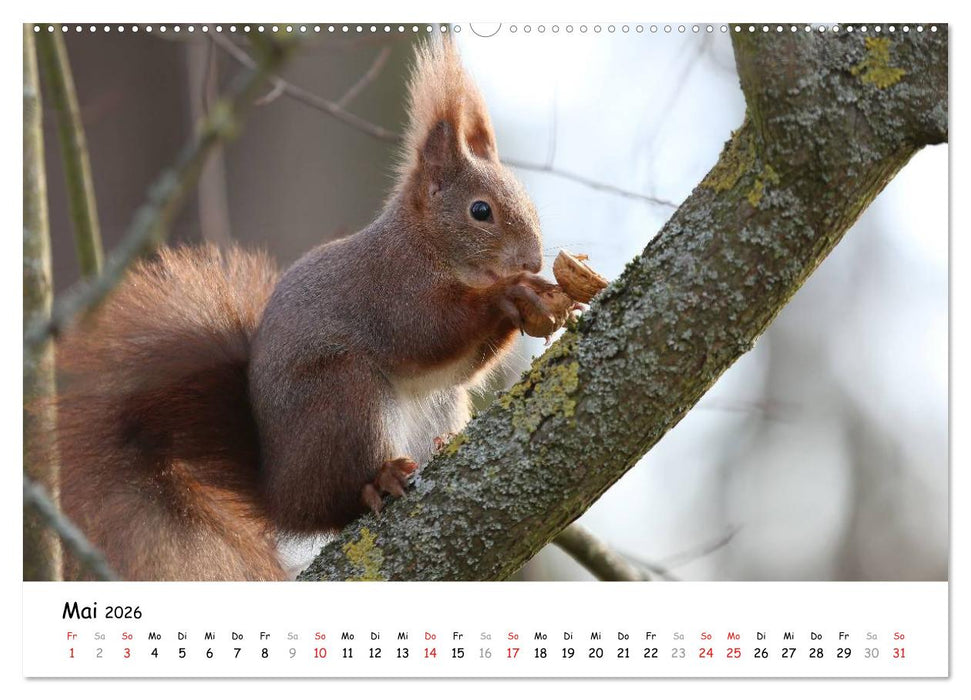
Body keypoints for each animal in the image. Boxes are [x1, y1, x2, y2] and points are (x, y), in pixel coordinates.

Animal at [52, 38, 563, 581]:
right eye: (480, 211)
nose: (531, 260)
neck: (423, 246)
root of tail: (278, 493)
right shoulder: (389, 292)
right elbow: (427, 333)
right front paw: (508, 295)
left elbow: (463, 365)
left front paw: (535, 295)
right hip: (343, 397)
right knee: (335, 504)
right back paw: (379, 480)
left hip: (436, 405)